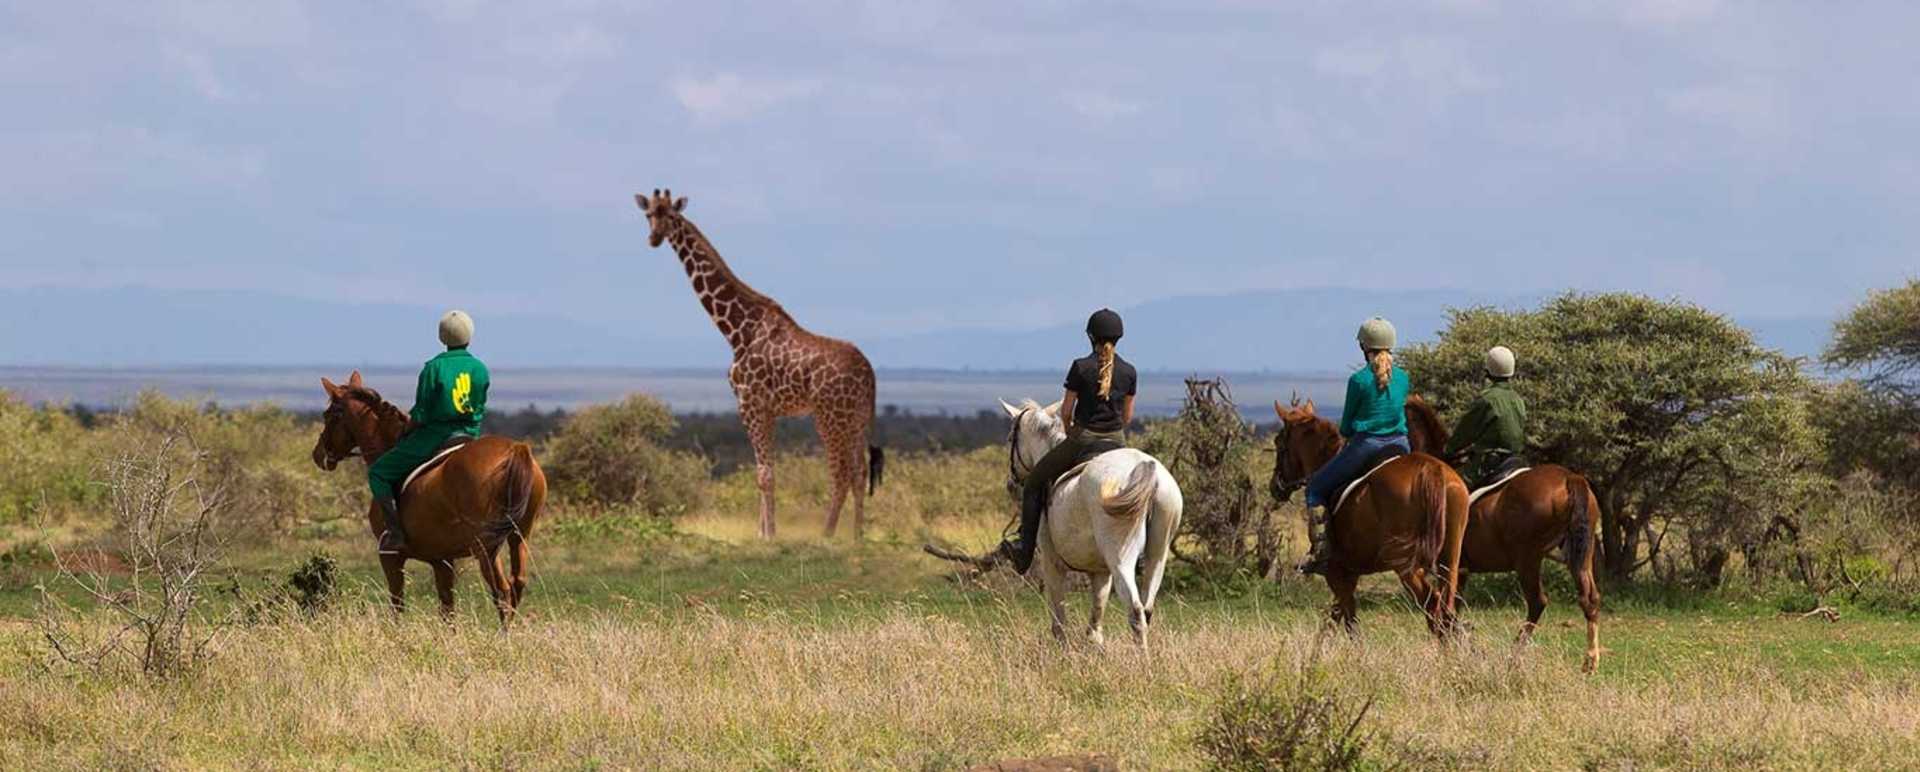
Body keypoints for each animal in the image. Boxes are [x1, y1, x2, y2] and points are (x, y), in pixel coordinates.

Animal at [313, 371, 546, 624]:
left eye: (328, 415)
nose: (318, 454)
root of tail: (516, 449)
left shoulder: (390, 556)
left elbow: (397, 604)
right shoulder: (442, 561)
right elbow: (447, 609)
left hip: (486, 547)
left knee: (502, 591)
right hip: (519, 535)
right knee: (517, 583)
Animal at [1000, 399, 1183, 650]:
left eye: (1011, 438)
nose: (1010, 484)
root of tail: (1146, 469)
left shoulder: (1051, 562)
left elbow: (1059, 619)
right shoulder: (1100, 571)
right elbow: (1095, 621)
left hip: (1121, 556)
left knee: (1135, 610)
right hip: (1158, 553)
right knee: (1147, 609)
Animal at [1268, 398, 1470, 637]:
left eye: (1279, 443)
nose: (1275, 486)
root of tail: (1432, 470)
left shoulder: (1337, 573)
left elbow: (1348, 624)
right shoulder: (1349, 574)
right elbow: (1333, 621)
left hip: (1406, 565)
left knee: (1433, 608)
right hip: (1450, 559)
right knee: (1447, 613)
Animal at [1402, 398, 1604, 673]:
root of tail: (1569, 478)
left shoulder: (1449, 567)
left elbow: (1444, 610)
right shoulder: (1461, 570)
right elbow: (1450, 609)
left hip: (1528, 560)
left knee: (1538, 602)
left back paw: (1513, 657)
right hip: (1582, 555)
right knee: (1589, 599)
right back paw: (1590, 661)